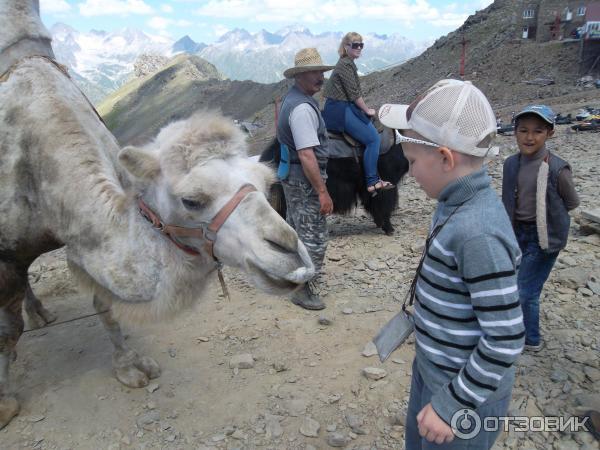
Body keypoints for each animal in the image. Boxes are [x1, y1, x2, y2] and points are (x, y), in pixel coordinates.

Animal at [0, 0, 316, 428]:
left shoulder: (84, 242)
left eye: (267, 183)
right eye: (192, 200)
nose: (290, 255)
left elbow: (105, 303)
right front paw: (4, 402)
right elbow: (8, 332)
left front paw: (129, 366)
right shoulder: (7, 257)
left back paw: (40, 312)